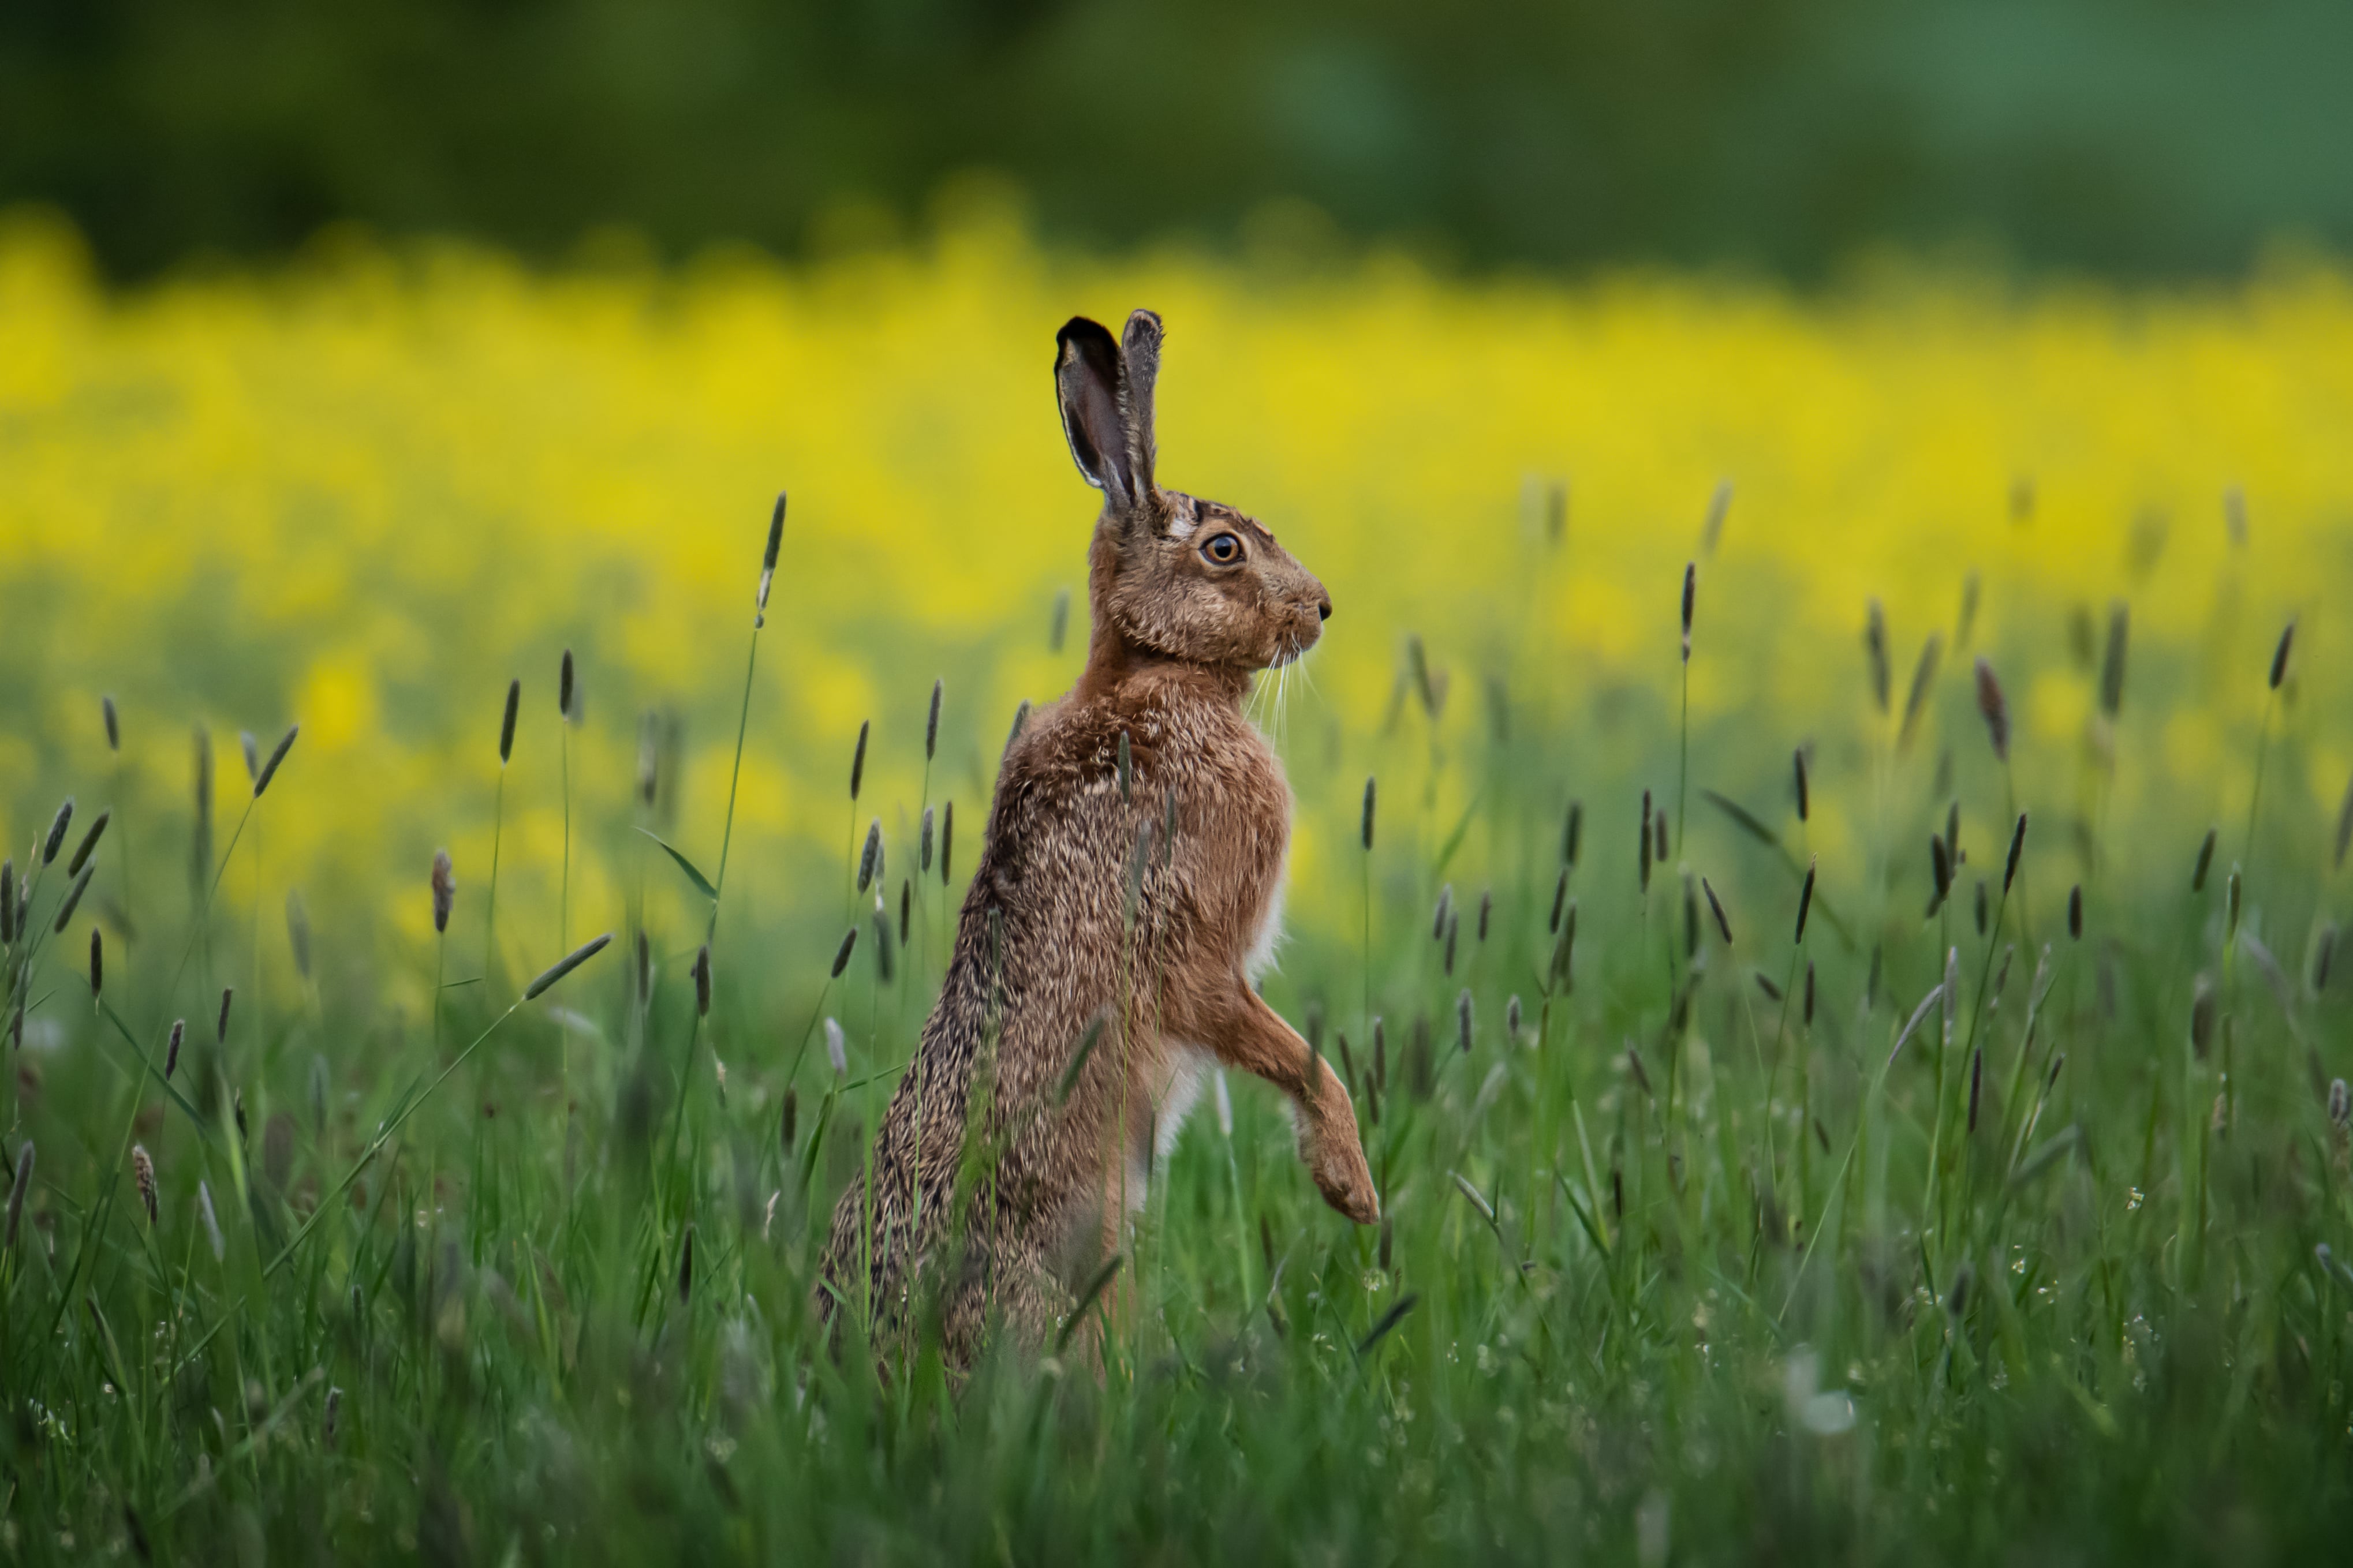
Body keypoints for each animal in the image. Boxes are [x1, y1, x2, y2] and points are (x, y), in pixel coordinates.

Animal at [823, 305, 1374, 1363]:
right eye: (1224, 550)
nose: (1322, 608)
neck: (1160, 670)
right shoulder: (1197, 952)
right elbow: (1299, 1056)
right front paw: (1351, 1188)